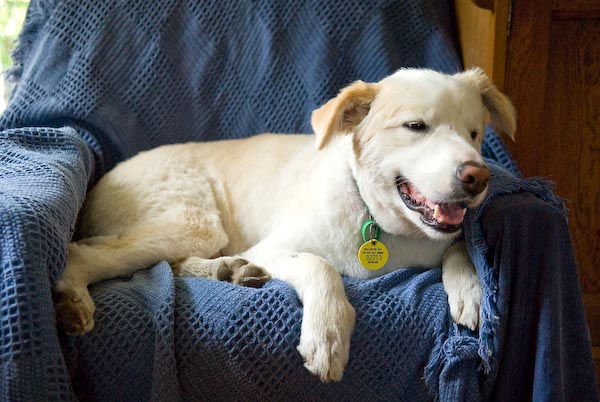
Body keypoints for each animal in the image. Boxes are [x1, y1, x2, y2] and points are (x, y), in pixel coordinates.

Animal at [52, 68, 516, 384]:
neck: (380, 224)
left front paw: (472, 290)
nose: (478, 177)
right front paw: (327, 334)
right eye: (416, 126)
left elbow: (458, 247)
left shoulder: (442, 239)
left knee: (175, 264)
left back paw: (230, 271)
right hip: (194, 221)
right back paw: (72, 299)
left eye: (474, 134)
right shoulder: (273, 247)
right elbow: (320, 266)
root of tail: (103, 178)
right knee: (86, 251)